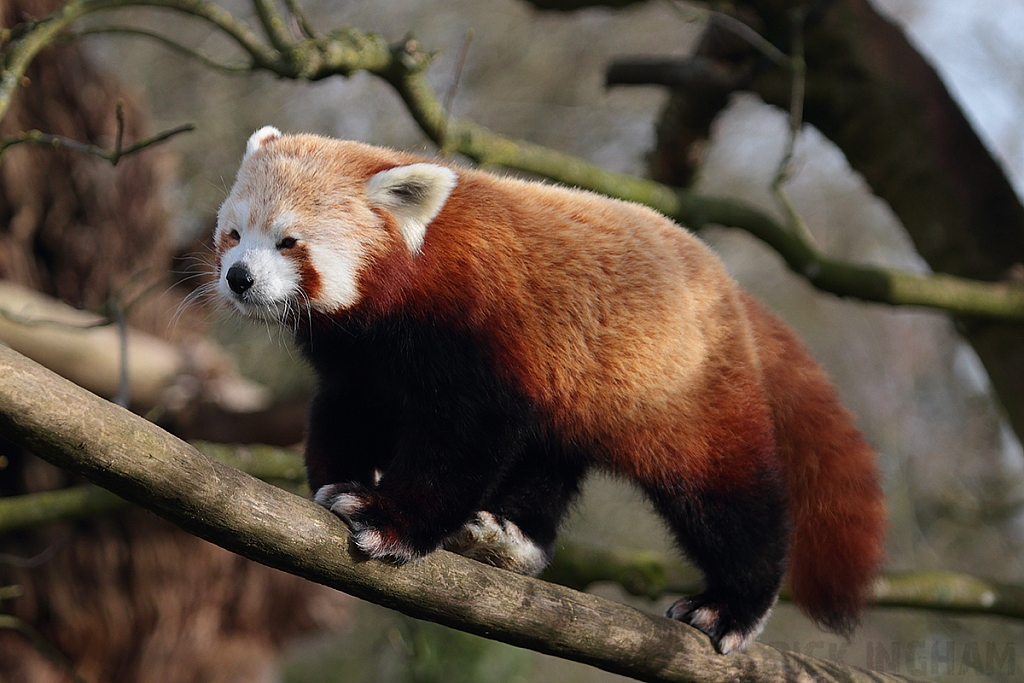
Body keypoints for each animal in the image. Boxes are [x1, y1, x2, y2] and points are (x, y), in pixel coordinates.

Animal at [218, 125, 888, 655]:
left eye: (288, 241)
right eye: (233, 234)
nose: (238, 278)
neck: (404, 290)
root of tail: (728, 286)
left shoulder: (479, 333)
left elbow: (462, 439)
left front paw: (389, 519)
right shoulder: (362, 359)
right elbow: (350, 411)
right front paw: (341, 479)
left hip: (684, 390)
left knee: (725, 496)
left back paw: (732, 605)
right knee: (550, 462)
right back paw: (512, 537)